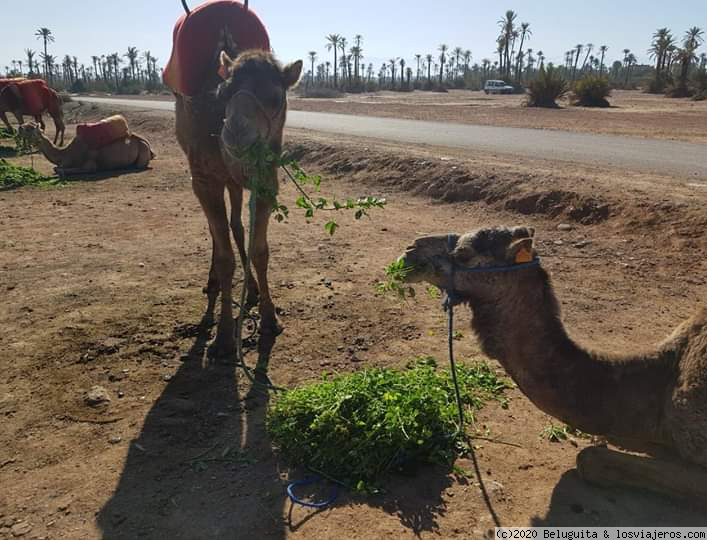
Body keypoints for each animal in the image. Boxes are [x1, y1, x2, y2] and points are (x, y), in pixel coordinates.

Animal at [19, 116, 156, 174]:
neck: (66, 154)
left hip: (143, 150)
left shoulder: (89, 165)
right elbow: (56, 168)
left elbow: (60, 169)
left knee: (139, 165)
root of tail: (148, 144)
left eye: (30, 128)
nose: (19, 127)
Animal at [167, 1, 304, 358]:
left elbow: (260, 249)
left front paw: (270, 318)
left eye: (276, 97)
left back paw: (251, 289)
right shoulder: (203, 179)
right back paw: (213, 284)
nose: (237, 136)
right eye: (224, 92)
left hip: (235, 182)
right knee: (219, 231)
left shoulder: (265, 179)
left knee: (236, 225)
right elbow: (226, 256)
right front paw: (225, 337)